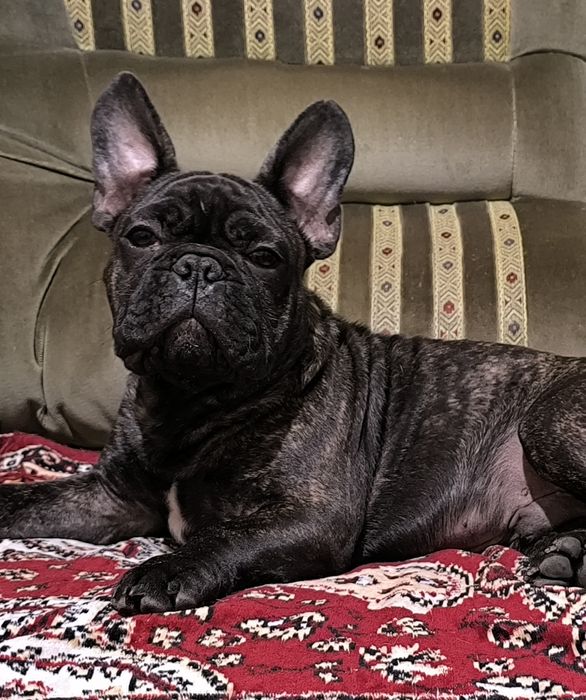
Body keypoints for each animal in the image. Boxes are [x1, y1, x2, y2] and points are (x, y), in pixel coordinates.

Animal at [0, 73, 585, 615]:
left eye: (265, 257)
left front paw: (166, 568)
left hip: (546, 423)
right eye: (141, 237)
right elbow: (27, 500)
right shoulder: (109, 496)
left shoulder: (308, 514)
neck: (191, 398)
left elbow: (228, 536)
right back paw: (566, 553)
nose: (199, 265)